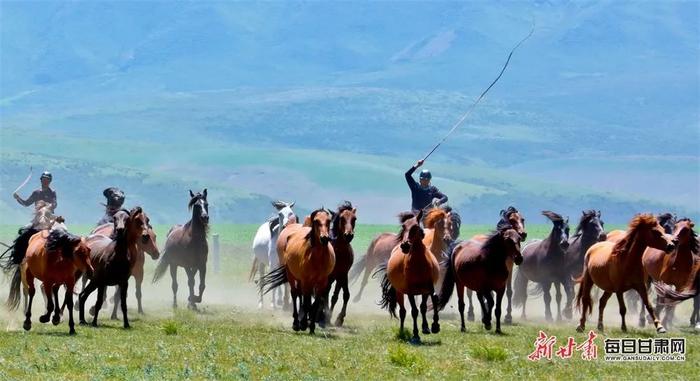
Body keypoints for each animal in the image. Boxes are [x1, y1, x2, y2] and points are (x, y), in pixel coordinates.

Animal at [262, 206, 334, 334]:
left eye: (329, 220)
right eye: (316, 221)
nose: (324, 238)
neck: (316, 258)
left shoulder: (322, 282)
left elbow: (315, 303)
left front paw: (311, 326)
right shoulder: (306, 280)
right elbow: (306, 301)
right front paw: (303, 323)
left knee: (300, 294)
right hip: (291, 275)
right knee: (295, 294)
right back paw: (296, 322)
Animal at [378, 209, 438, 342]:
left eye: (415, 227)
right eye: (403, 227)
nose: (405, 245)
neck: (419, 264)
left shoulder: (428, 287)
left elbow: (433, 299)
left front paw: (433, 326)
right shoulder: (410, 291)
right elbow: (414, 311)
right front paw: (415, 335)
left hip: (422, 291)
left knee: (422, 307)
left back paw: (425, 327)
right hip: (399, 292)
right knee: (403, 312)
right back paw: (401, 332)